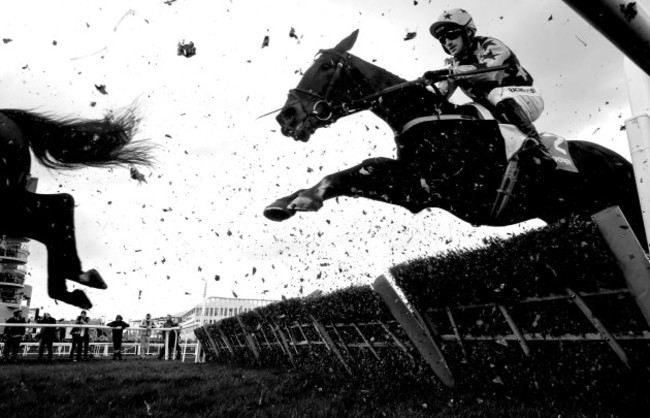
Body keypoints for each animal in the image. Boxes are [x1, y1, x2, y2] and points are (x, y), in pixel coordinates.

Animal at [262, 31, 644, 250]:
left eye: (326, 66)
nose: (287, 116)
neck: (426, 117)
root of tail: (623, 161)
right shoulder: (416, 186)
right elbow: (360, 171)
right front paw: (283, 201)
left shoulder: (431, 187)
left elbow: (363, 168)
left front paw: (307, 197)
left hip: (625, 207)